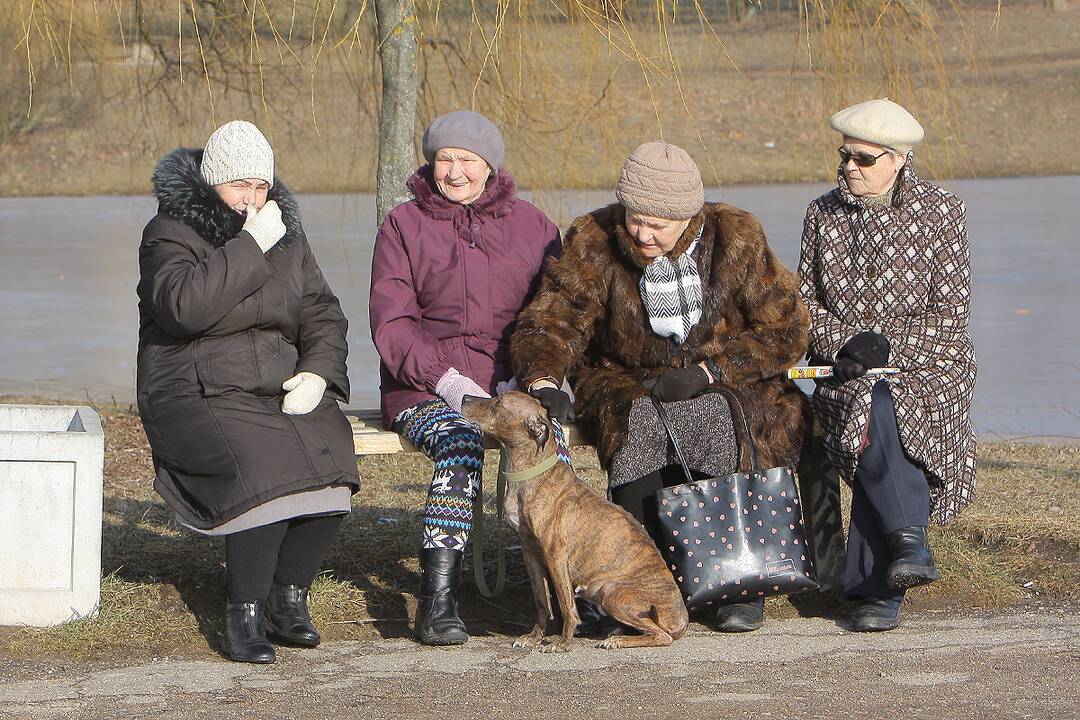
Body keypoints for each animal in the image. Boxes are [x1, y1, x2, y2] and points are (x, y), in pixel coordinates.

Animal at [460, 395, 686, 651]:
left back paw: (618, 640)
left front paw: (562, 642)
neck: (529, 473)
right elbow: (542, 602)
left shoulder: (555, 556)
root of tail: (680, 620)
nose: (465, 398)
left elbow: (566, 604)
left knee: (661, 635)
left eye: (498, 404)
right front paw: (533, 637)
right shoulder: (530, 552)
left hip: (611, 591)